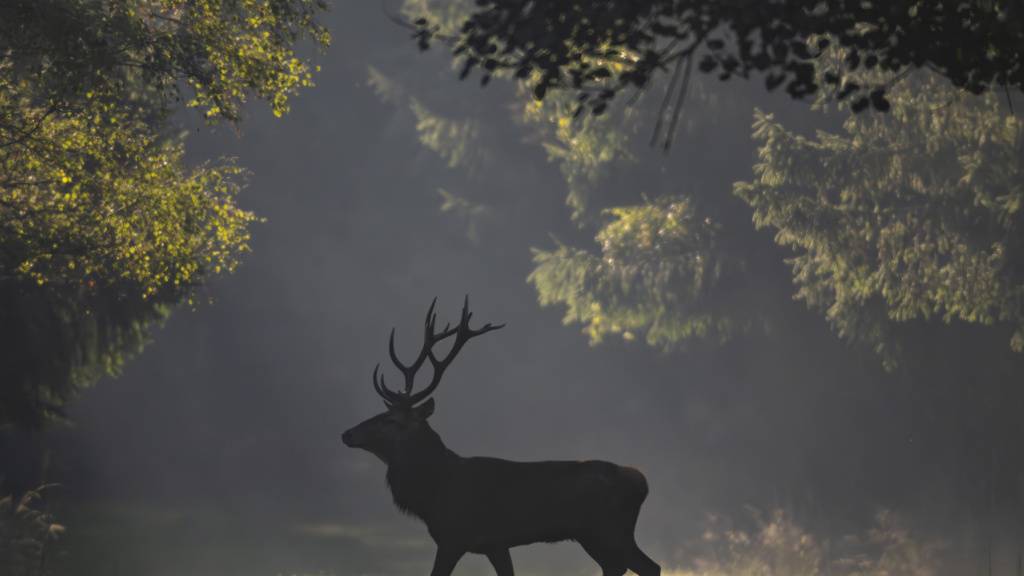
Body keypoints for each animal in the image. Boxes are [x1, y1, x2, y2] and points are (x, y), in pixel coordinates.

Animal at [341, 297, 661, 576]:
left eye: (391, 421)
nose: (347, 433)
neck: (436, 491)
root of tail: (641, 482)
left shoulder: (455, 535)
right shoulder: (495, 543)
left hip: (605, 530)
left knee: (640, 566)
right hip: (602, 534)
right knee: (637, 566)